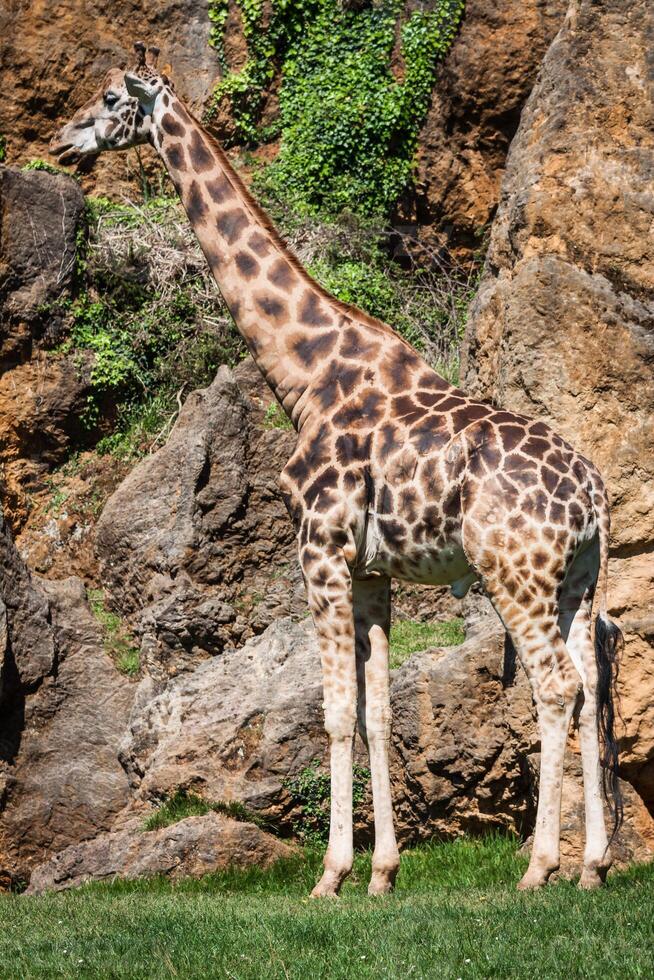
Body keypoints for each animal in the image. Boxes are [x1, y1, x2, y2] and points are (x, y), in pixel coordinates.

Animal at [51, 40, 624, 896]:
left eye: (114, 96)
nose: (63, 140)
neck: (303, 370)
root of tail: (593, 499)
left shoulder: (318, 548)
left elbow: (331, 711)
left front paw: (330, 875)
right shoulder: (372, 569)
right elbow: (378, 712)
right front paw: (383, 873)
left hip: (512, 570)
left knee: (554, 687)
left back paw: (538, 867)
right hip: (581, 580)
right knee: (588, 689)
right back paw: (591, 865)